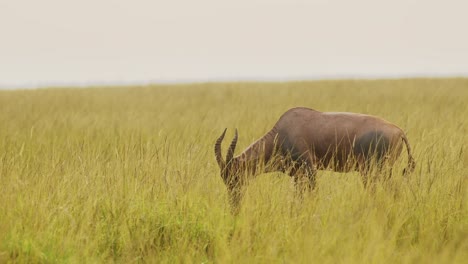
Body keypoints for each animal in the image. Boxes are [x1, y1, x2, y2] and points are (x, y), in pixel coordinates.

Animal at [214, 106, 414, 211]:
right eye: (224, 178)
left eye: (235, 175)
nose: (234, 205)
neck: (283, 131)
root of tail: (399, 131)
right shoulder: (297, 175)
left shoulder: (310, 168)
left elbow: (313, 194)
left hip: (377, 171)